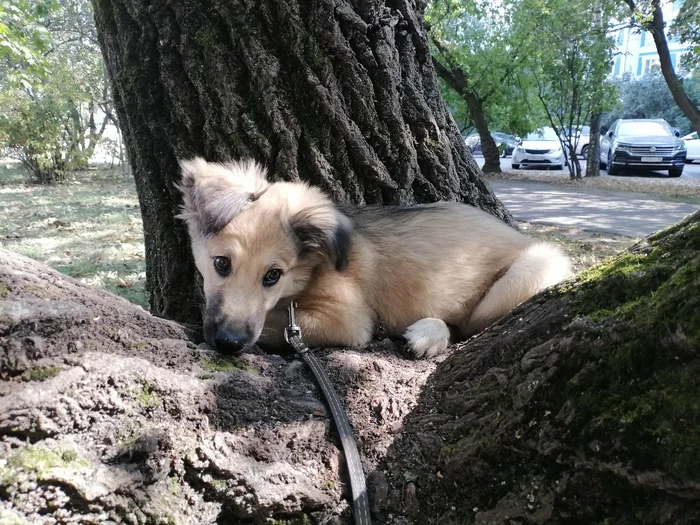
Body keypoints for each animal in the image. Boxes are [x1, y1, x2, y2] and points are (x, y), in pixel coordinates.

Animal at [178, 159, 572, 356]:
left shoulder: (347, 320)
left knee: (472, 327)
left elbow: (274, 325)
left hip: (530, 271)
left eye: (272, 275)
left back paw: (430, 334)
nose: (228, 343)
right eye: (221, 264)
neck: (312, 268)